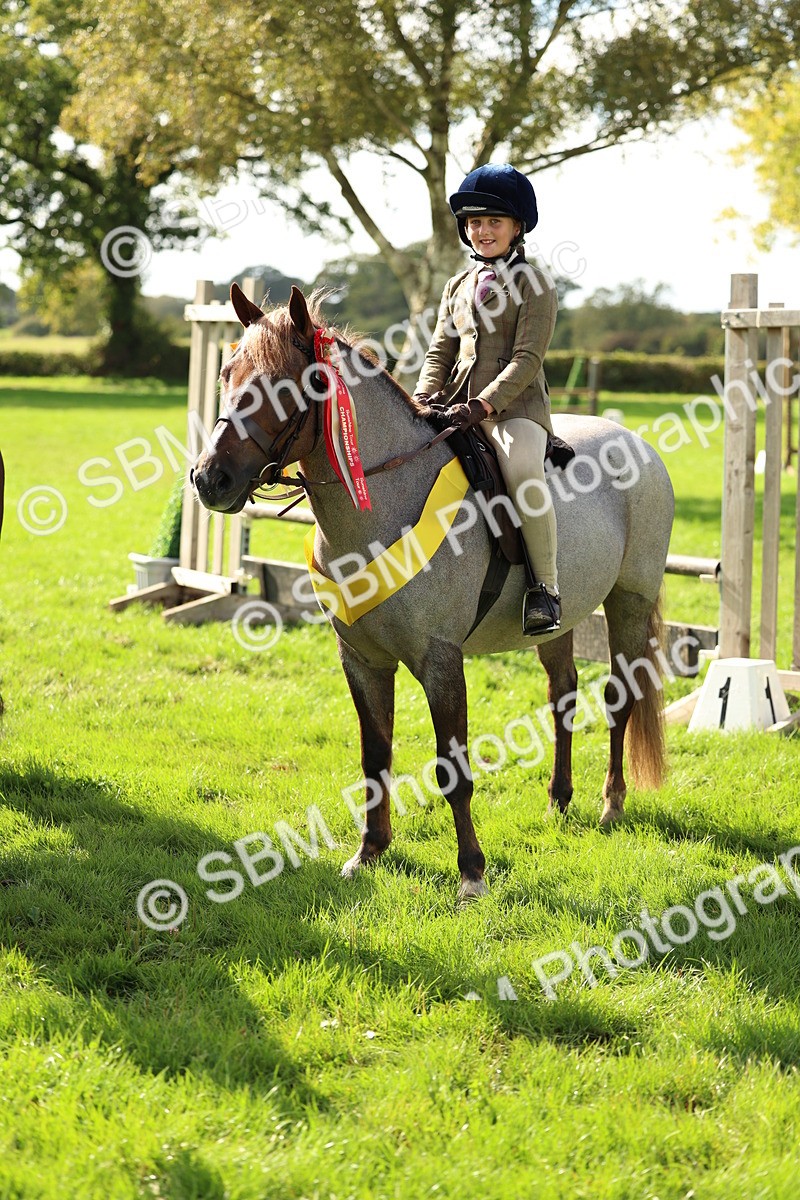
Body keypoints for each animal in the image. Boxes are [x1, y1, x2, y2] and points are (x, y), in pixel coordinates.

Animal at [191, 285, 675, 903]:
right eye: (226, 374)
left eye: (280, 386)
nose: (209, 479)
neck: (384, 502)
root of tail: (636, 442)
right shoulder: (363, 660)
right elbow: (375, 756)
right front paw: (369, 852)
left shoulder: (440, 661)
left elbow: (453, 768)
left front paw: (471, 872)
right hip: (559, 624)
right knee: (562, 693)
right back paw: (558, 799)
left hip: (629, 601)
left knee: (620, 697)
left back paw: (611, 804)